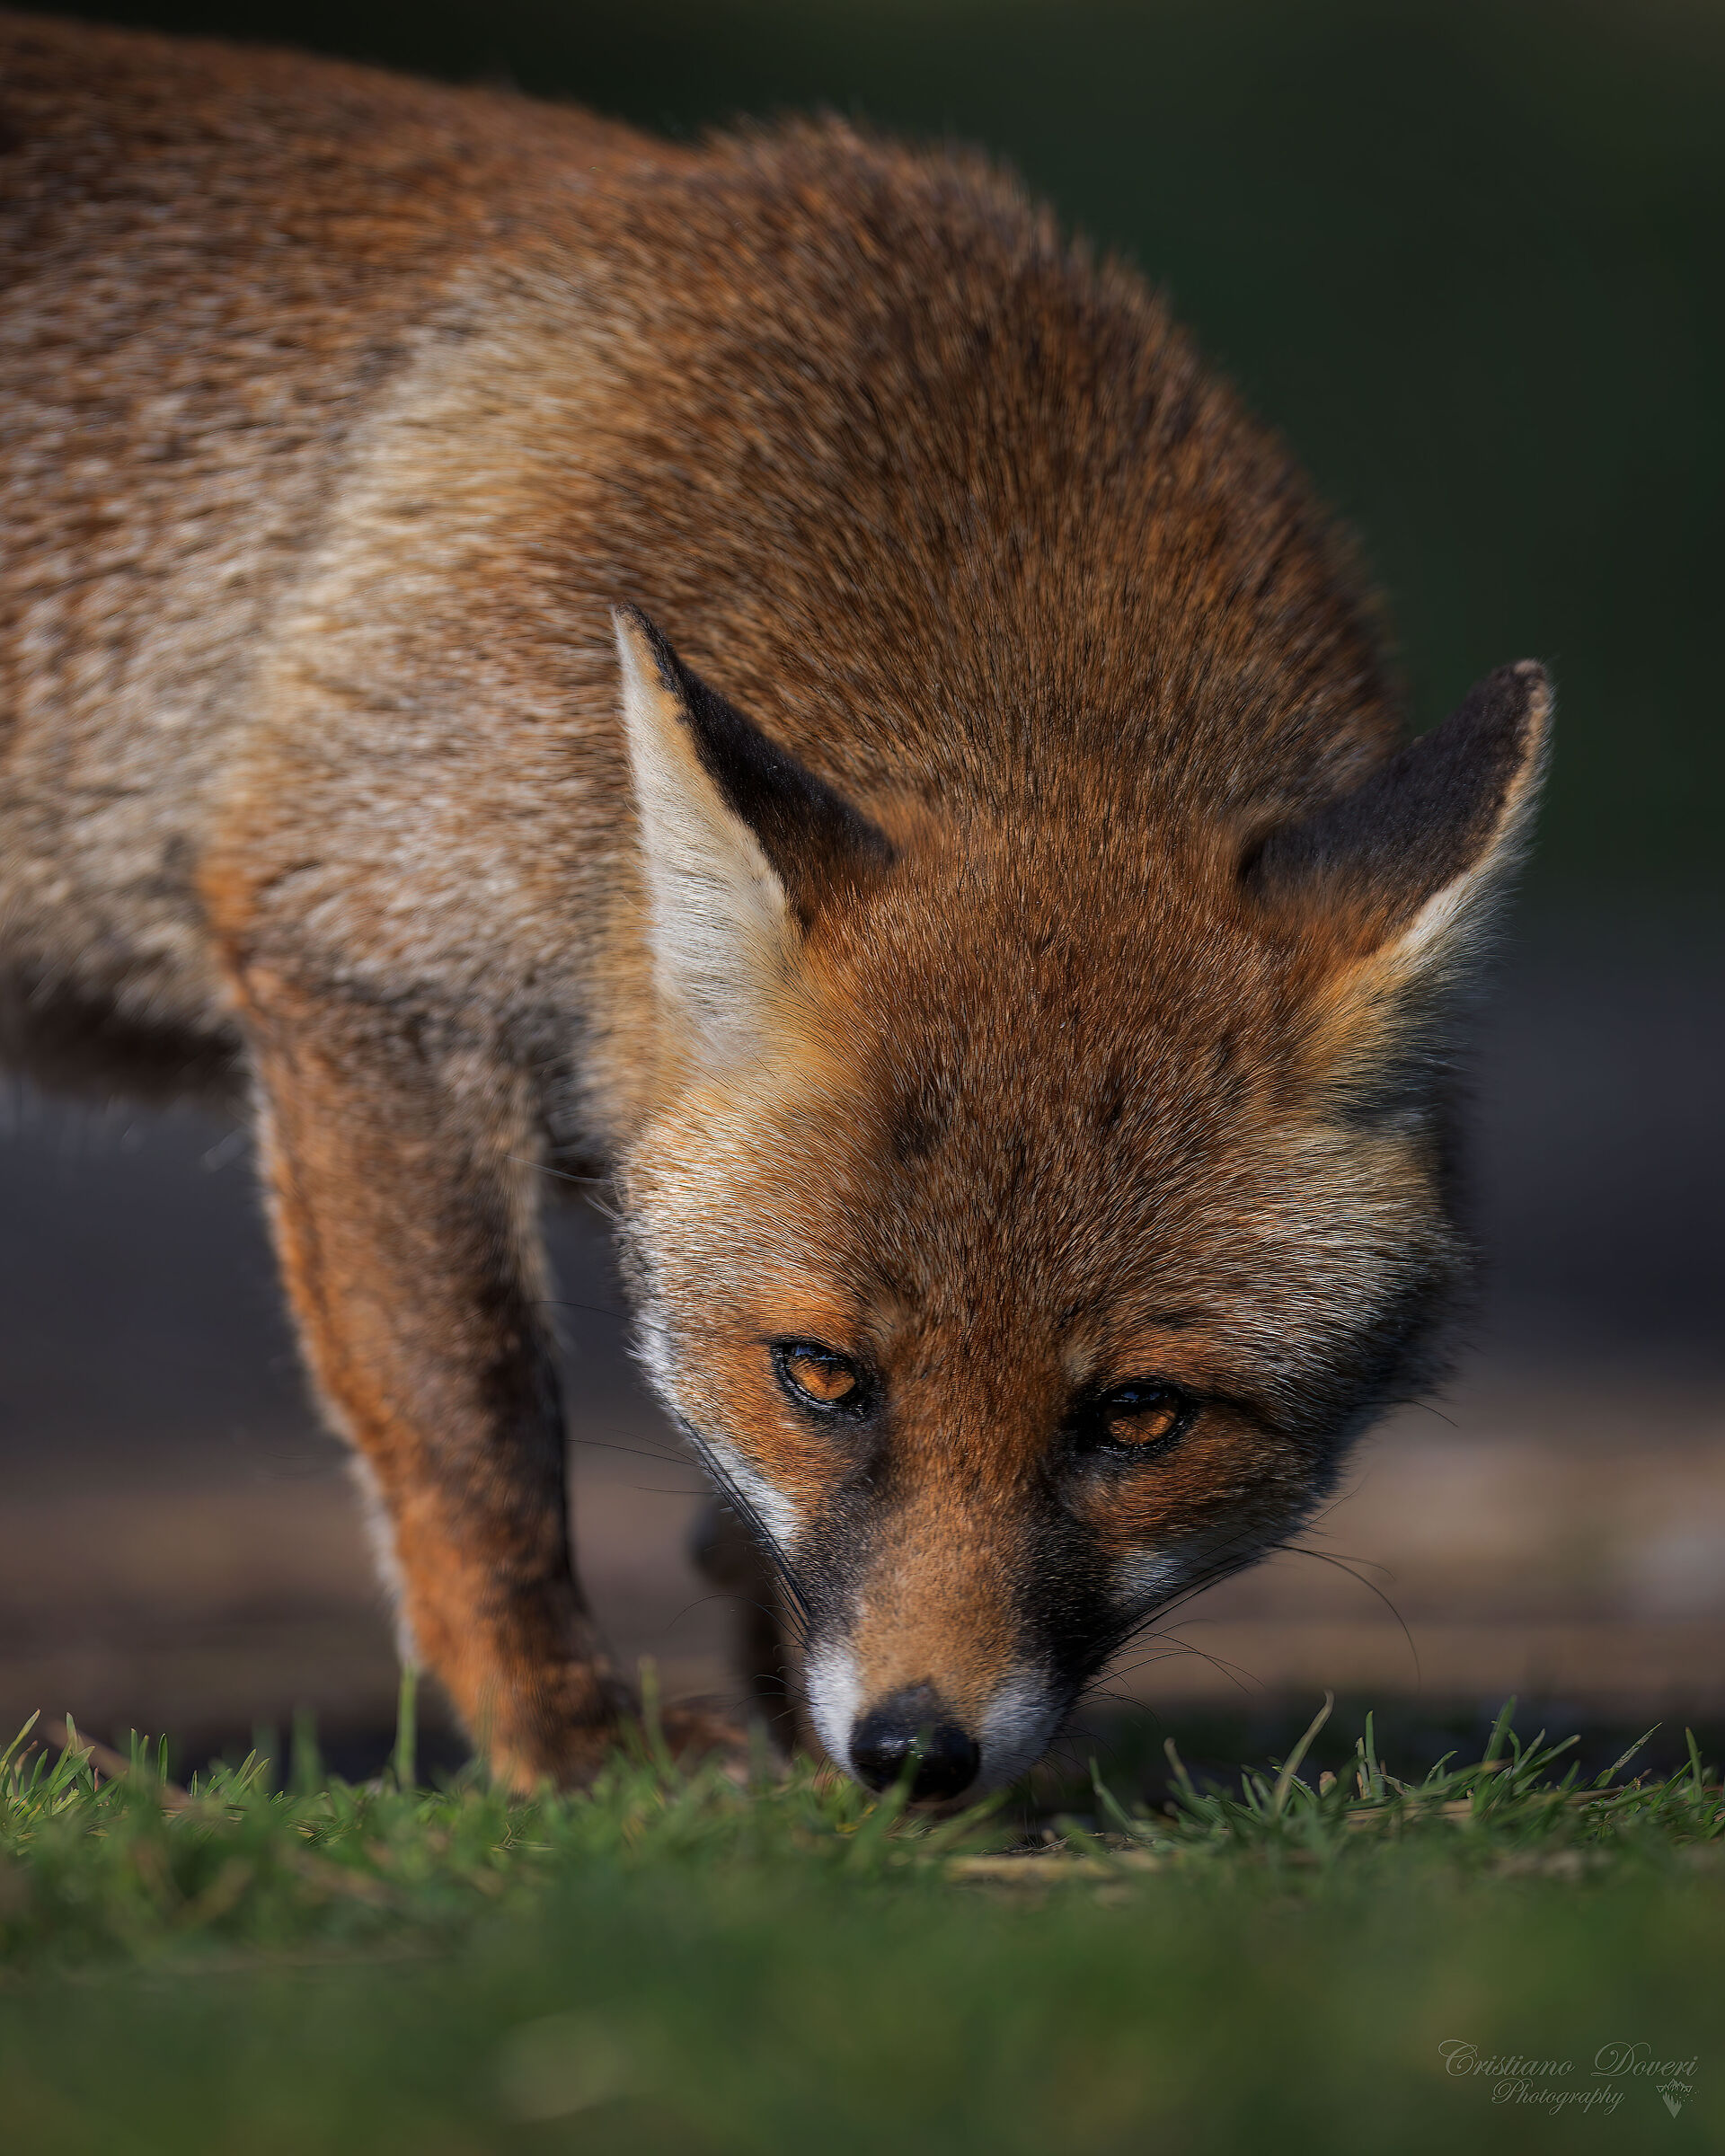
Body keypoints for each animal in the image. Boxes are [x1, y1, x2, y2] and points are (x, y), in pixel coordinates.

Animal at [0, 13, 1549, 1801]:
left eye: (1142, 1416)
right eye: (825, 1377)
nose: (918, 1752)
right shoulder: (368, 971)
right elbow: (474, 1436)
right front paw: (568, 1740)